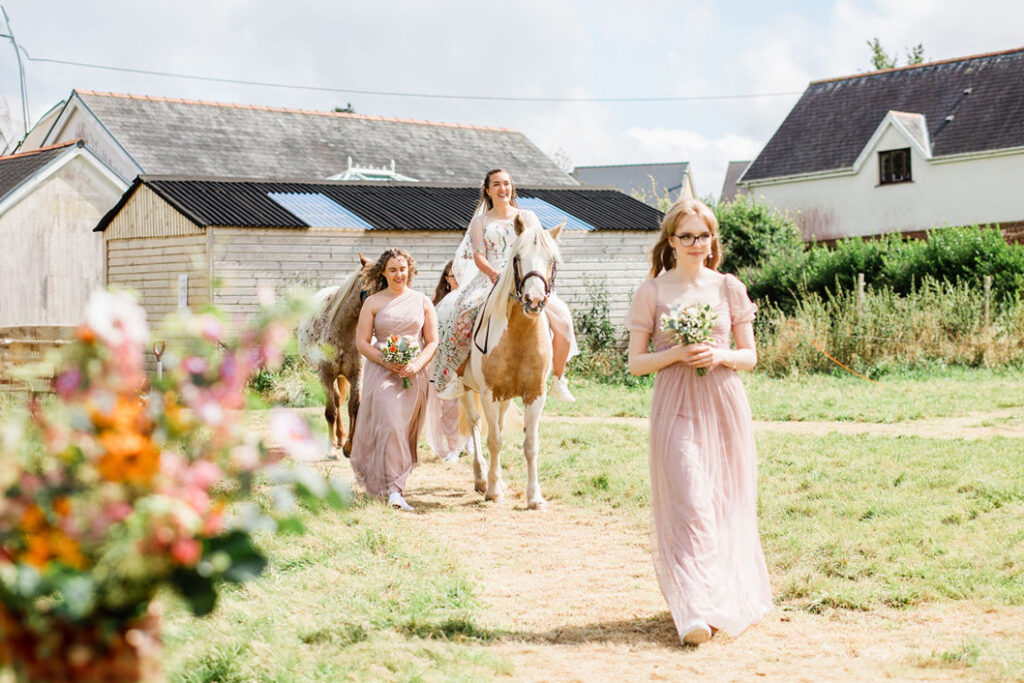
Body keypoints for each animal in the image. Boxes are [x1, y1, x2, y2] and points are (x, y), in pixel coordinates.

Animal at [297, 255, 371, 456]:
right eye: (366, 286)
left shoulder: (357, 374)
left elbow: (354, 407)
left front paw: (350, 447)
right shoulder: (325, 374)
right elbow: (330, 410)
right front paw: (331, 448)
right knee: (336, 401)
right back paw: (337, 439)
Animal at [459, 215, 565, 510]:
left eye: (552, 260)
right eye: (517, 257)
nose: (534, 300)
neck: (519, 336)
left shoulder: (535, 394)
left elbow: (530, 445)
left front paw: (534, 497)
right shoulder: (488, 393)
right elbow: (494, 440)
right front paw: (493, 491)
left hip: (506, 397)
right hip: (465, 389)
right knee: (474, 424)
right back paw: (481, 478)